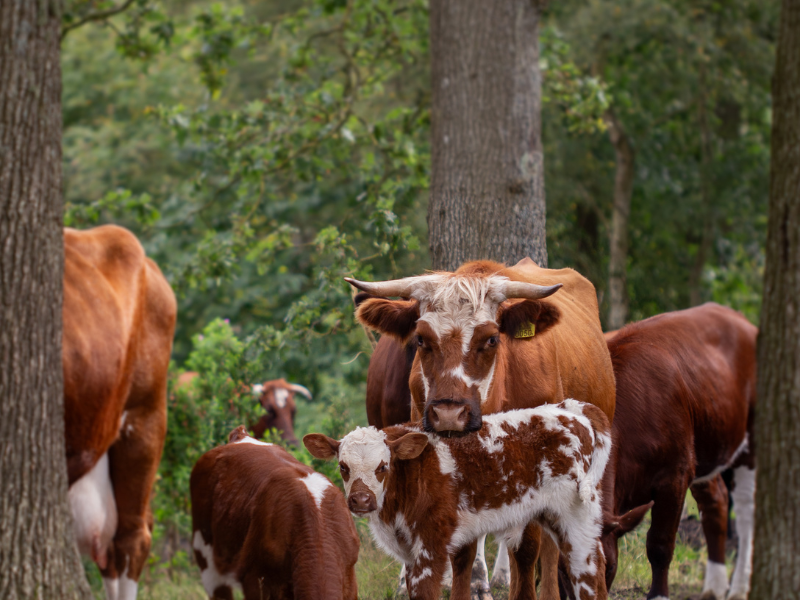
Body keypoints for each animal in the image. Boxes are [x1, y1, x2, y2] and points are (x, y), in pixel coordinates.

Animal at [305, 400, 613, 600]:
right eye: (343, 467)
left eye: (382, 467)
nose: (361, 500)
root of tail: (571, 409)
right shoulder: (409, 551)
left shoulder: (432, 547)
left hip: (576, 514)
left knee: (586, 571)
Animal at [346, 258, 616, 598]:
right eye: (421, 339)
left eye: (490, 339)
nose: (449, 415)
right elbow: (463, 550)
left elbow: (527, 548)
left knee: (552, 546)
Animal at [599, 303, 757, 600]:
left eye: (609, 567)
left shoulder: (675, 473)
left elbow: (660, 544)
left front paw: (659, 595)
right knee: (716, 502)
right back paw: (714, 586)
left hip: (748, 443)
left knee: (744, 511)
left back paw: (740, 586)